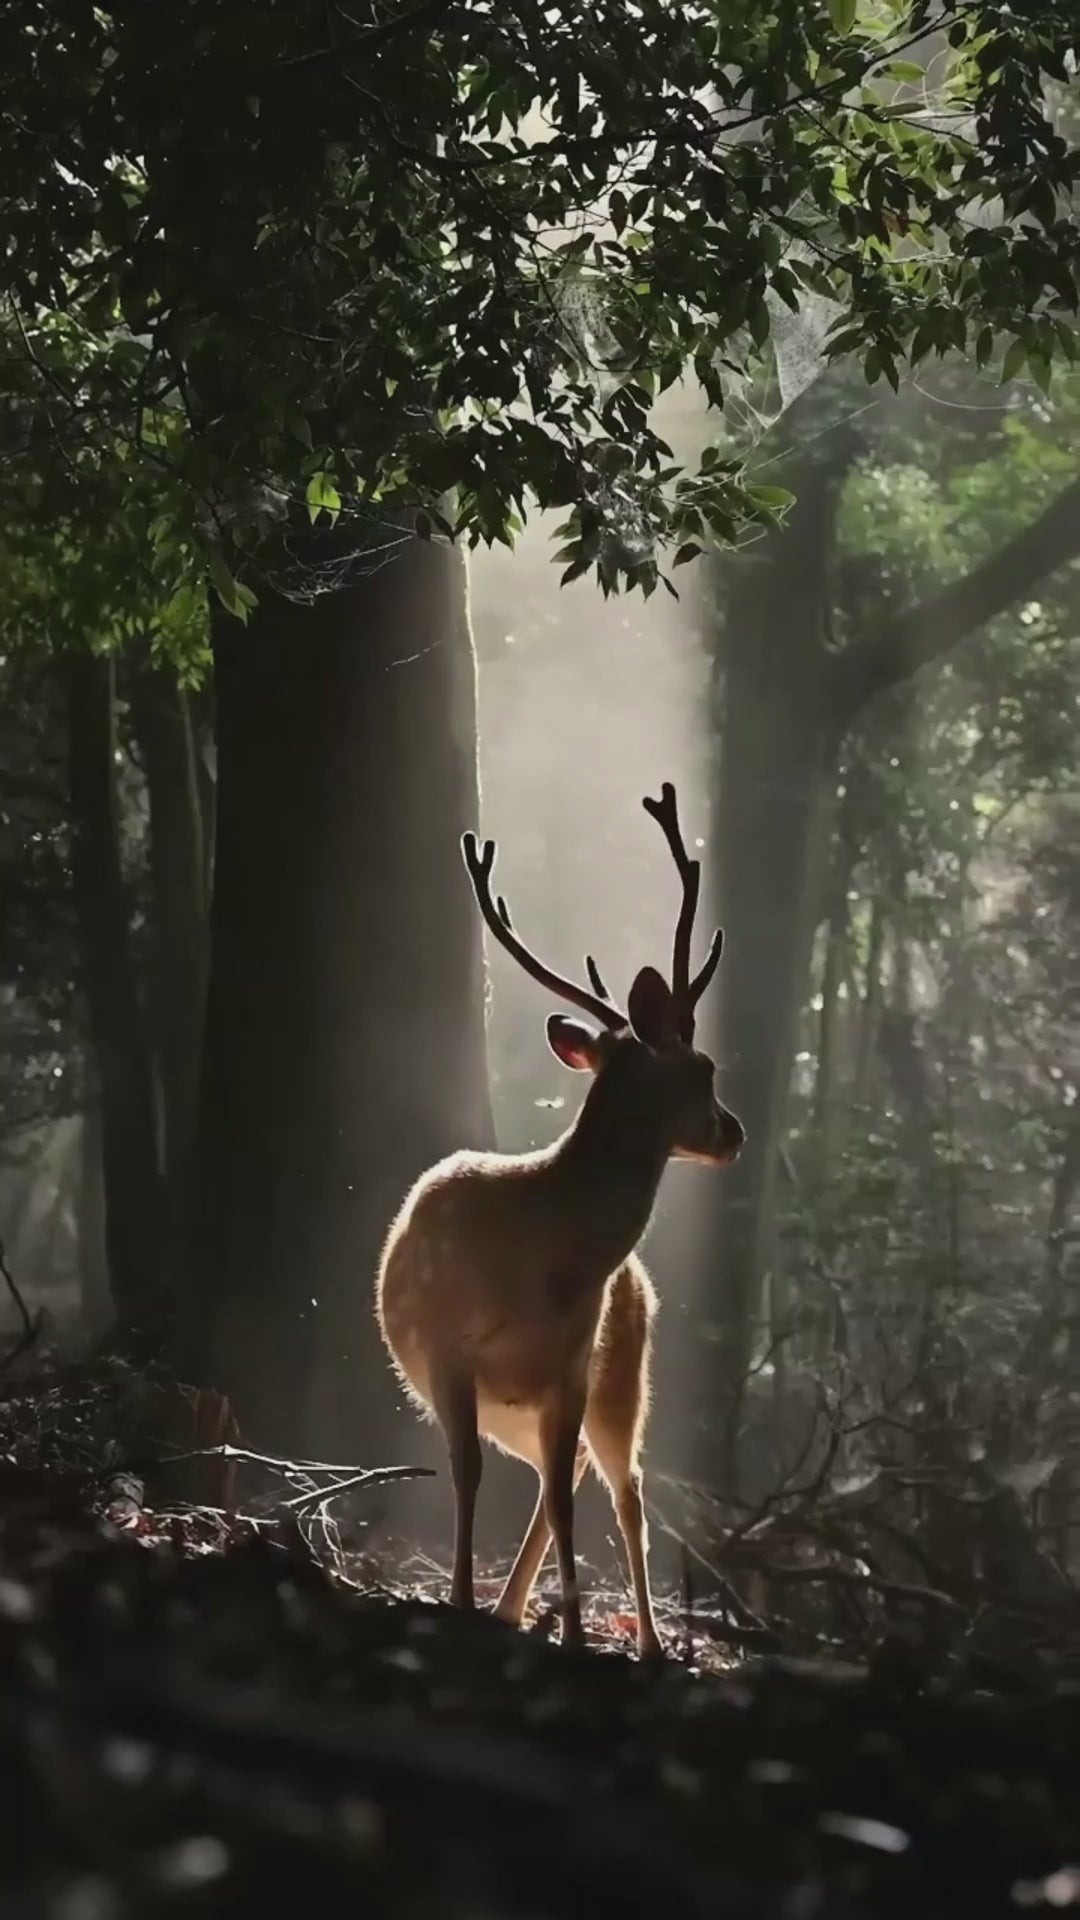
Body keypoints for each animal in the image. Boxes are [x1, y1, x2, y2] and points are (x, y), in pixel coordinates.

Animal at [375, 783, 744, 1656]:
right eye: (705, 1067)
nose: (734, 1131)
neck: (543, 1262)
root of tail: (636, 1278)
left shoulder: (576, 1365)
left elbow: (575, 1500)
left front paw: (576, 1636)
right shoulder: (449, 1350)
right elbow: (470, 1474)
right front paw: (462, 1601)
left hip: (624, 1375)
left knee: (619, 1487)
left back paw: (643, 1639)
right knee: (560, 1478)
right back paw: (512, 1608)